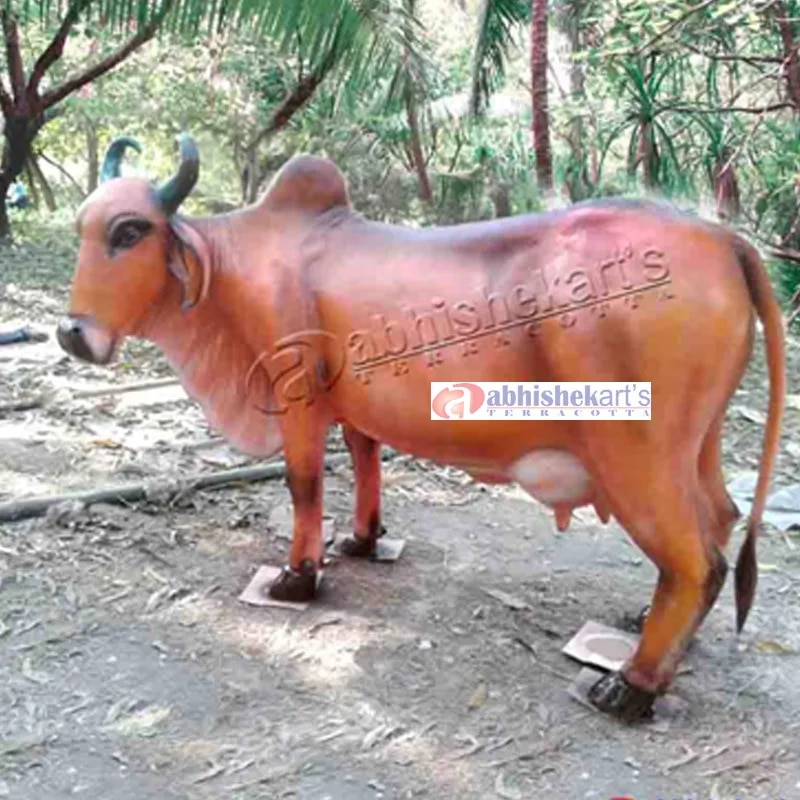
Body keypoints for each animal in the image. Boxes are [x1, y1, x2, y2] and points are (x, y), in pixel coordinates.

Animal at [57, 132, 786, 723]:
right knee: (719, 522)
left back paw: (631, 686)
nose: (71, 334)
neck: (238, 271)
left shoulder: (299, 400)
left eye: (129, 231)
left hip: (636, 454)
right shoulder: (352, 404)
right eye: (81, 227)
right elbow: (365, 460)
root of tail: (722, 239)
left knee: (695, 561)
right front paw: (361, 540)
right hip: (697, 444)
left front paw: (298, 577)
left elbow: (303, 484)